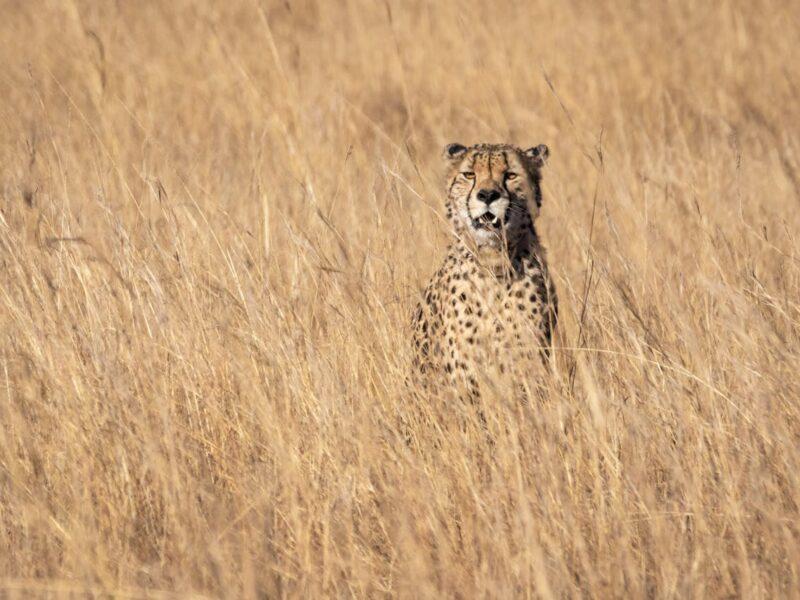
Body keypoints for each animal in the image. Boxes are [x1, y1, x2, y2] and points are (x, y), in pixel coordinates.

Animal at [411, 142, 558, 400]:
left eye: (510, 175)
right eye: (470, 175)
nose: (488, 195)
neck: (493, 262)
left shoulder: (527, 368)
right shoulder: (465, 379)